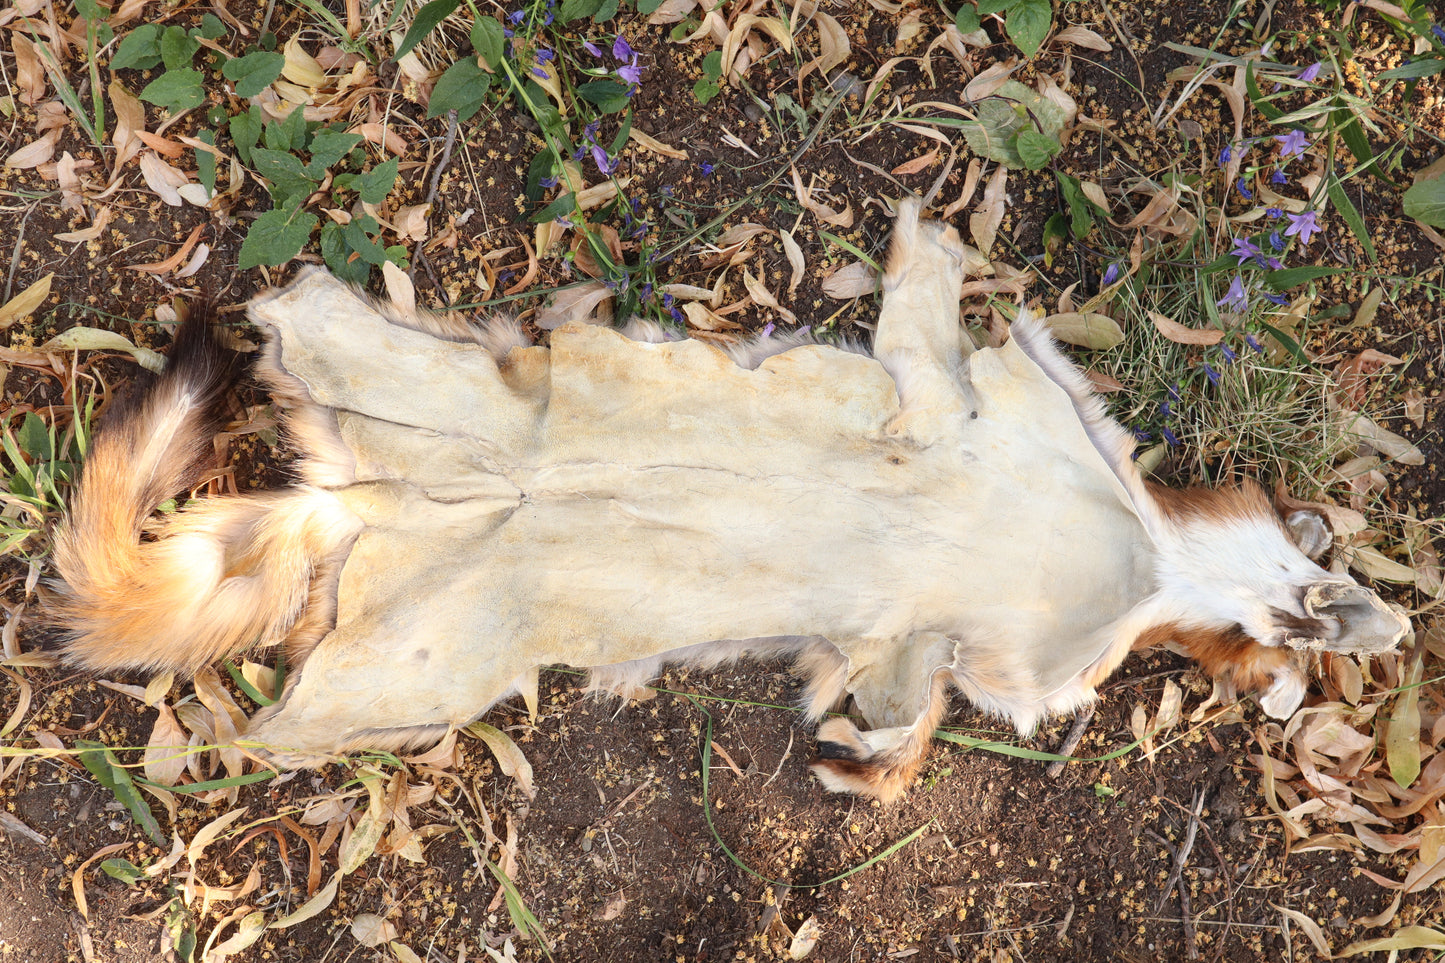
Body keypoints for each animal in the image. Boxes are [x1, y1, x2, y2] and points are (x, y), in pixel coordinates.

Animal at [44, 200, 1408, 801]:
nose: (1383, 622)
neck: (1147, 567)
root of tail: (354, 508)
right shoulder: (996, 406)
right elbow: (926, 328)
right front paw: (928, 237)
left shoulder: (954, 648)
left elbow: (904, 699)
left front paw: (868, 762)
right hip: (412, 476)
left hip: (417, 639)